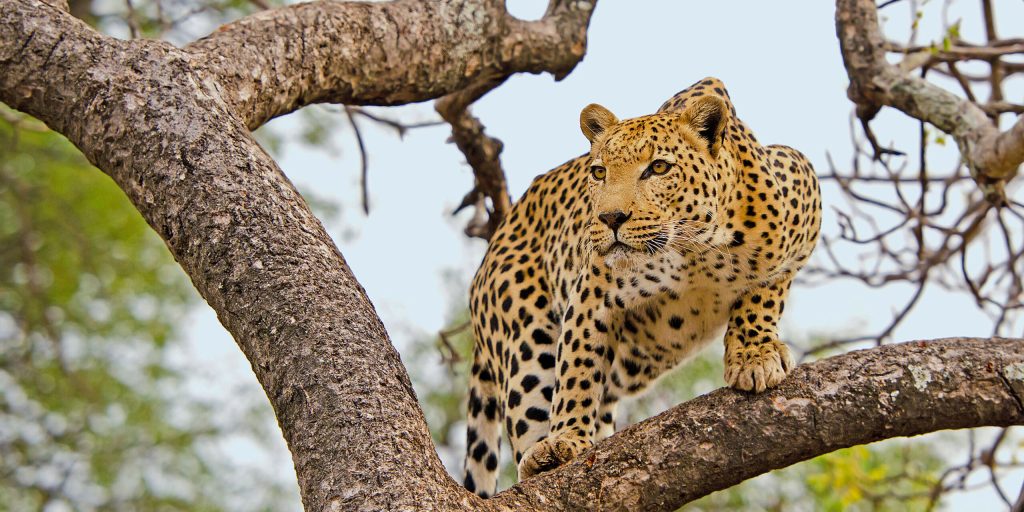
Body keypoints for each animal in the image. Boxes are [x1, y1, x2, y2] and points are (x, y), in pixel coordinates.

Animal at [461, 77, 821, 497]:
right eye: (599, 172)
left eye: (659, 168)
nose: (610, 217)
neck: (697, 252)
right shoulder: (592, 295)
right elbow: (576, 368)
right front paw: (566, 437)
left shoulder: (803, 189)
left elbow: (766, 287)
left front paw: (754, 355)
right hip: (525, 333)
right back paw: (542, 455)